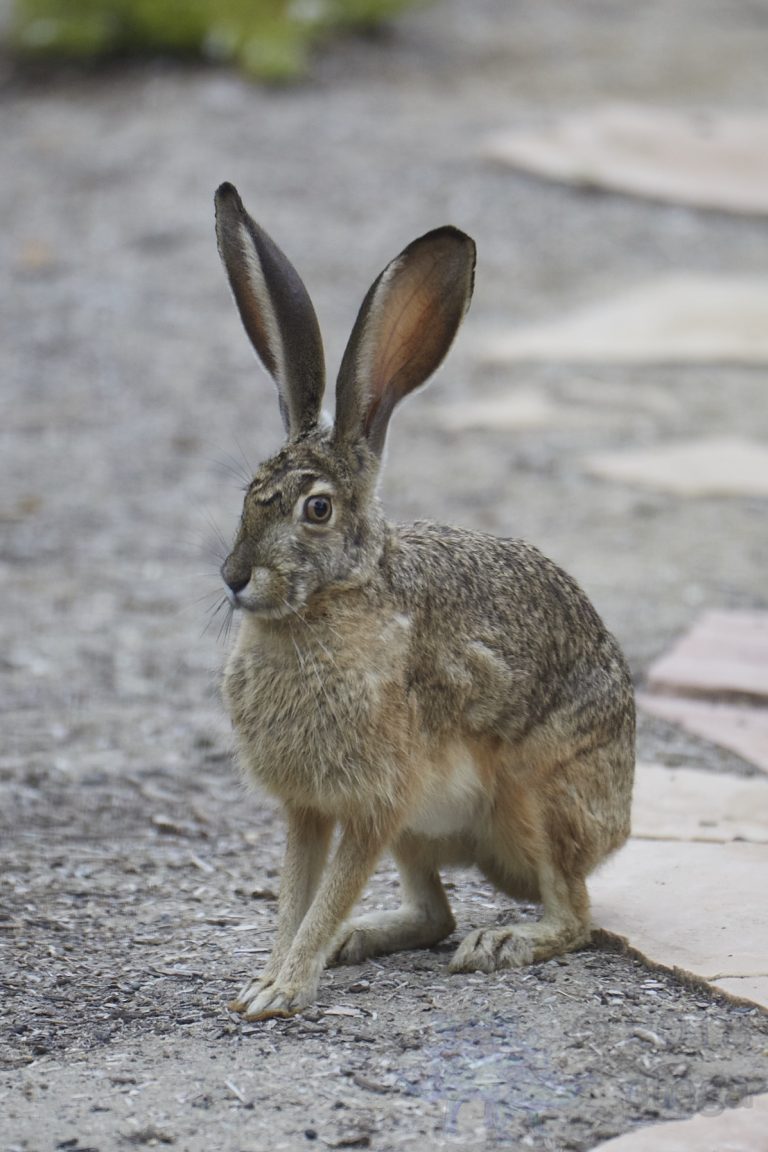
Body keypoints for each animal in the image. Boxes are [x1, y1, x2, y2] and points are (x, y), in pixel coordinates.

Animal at [213, 182, 635, 1022]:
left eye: (316, 510)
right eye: (248, 495)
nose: (234, 577)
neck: (329, 606)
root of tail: (623, 821)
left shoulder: (377, 800)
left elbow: (326, 893)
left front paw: (283, 990)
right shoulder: (310, 807)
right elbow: (296, 894)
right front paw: (266, 980)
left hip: (540, 799)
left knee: (574, 914)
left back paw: (503, 943)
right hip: (424, 833)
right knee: (435, 913)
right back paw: (360, 940)